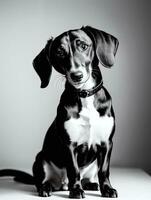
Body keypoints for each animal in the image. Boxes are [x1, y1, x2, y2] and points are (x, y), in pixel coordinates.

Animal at [0, 25, 119, 198]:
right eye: (59, 52)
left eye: (83, 46)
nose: (76, 75)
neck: (84, 95)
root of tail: (62, 184)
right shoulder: (69, 145)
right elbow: (74, 170)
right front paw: (76, 190)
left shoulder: (106, 143)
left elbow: (104, 170)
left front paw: (107, 189)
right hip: (41, 159)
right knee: (42, 182)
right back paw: (47, 187)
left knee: (89, 176)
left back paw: (90, 184)